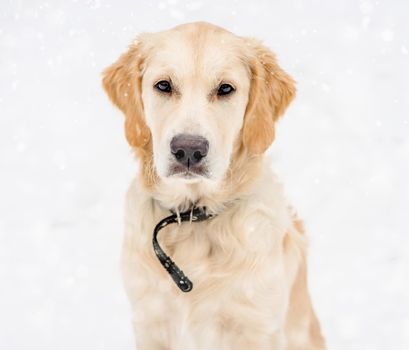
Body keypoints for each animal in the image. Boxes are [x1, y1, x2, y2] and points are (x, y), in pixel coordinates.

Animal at [102, 21, 326, 350]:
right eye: (164, 85)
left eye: (225, 89)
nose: (188, 150)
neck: (194, 218)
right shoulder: (151, 320)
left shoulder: (256, 326)